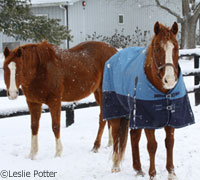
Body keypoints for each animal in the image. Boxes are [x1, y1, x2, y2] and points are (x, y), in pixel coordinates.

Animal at [102, 21, 195, 179]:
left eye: (176, 48)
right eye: (157, 49)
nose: (170, 80)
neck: (164, 93)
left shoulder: (170, 118)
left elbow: (169, 143)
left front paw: (171, 173)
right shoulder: (148, 120)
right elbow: (152, 146)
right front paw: (153, 174)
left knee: (134, 137)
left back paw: (138, 169)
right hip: (116, 113)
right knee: (115, 136)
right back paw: (115, 166)